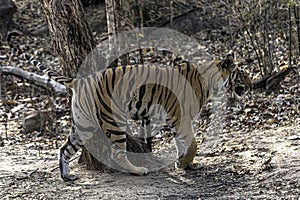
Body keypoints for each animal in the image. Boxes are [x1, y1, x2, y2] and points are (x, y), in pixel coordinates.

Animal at [7, 30, 252, 181]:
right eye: (242, 73)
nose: (251, 85)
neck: (210, 81)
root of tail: (79, 80)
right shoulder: (180, 119)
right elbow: (192, 144)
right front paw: (182, 164)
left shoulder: (177, 121)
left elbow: (183, 144)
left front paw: (186, 164)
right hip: (113, 121)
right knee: (117, 154)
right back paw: (137, 170)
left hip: (82, 125)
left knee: (64, 149)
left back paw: (67, 176)